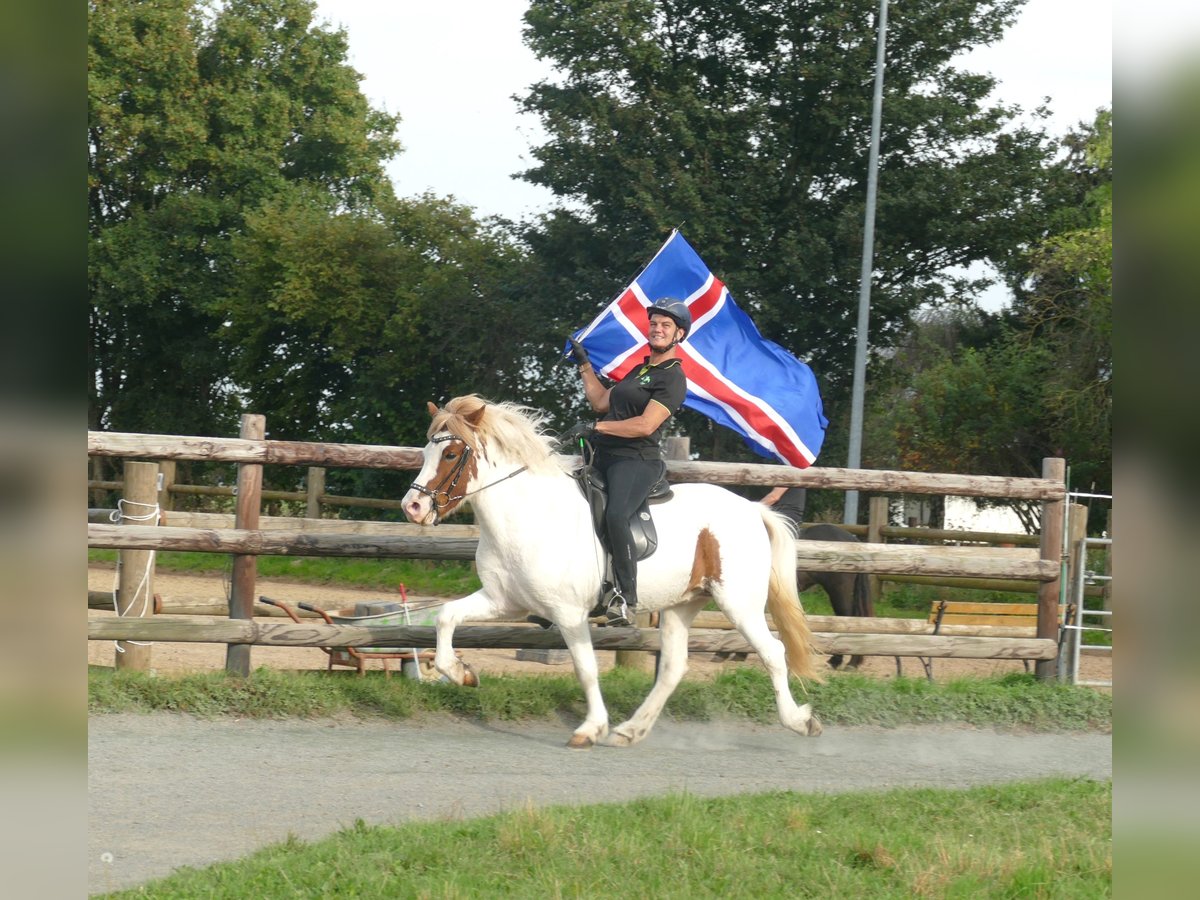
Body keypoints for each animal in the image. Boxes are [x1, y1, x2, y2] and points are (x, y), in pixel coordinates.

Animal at [398, 393, 820, 748]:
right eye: (426, 450)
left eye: (451, 453)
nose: (412, 508)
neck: (528, 514)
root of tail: (752, 509)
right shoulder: (504, 601)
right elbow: (446, 616)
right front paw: (461, 673)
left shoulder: (568, 613)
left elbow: (585, 669)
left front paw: (589, 729)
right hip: (682, 605)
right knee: (673, 667)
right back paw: (631, 730)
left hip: (738, 602)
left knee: (773, 652)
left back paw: (800, 721)